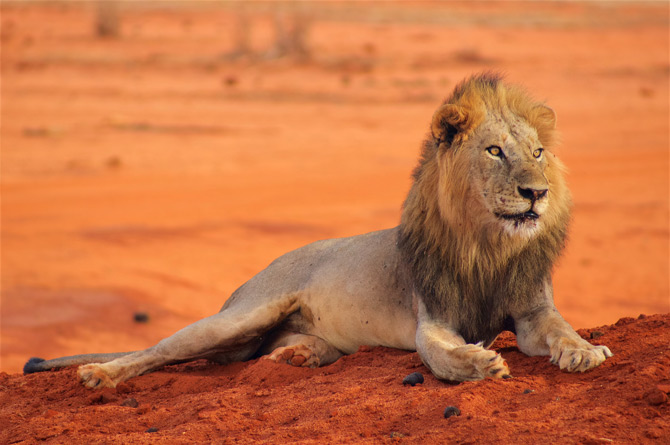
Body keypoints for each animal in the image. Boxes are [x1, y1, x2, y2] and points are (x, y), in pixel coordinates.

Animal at [25, 71, 616, 386]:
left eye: (537, 153)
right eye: (495, 151)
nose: (537, 193)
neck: (487, 246)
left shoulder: (533, 311)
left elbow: (562, 329)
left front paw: (584, 352)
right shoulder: (432, 319)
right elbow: (443, 355)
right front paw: (479, 362)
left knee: (268, 351)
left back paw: (298, 354)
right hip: (241, 314)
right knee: (161, 350)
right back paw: (100, 373)